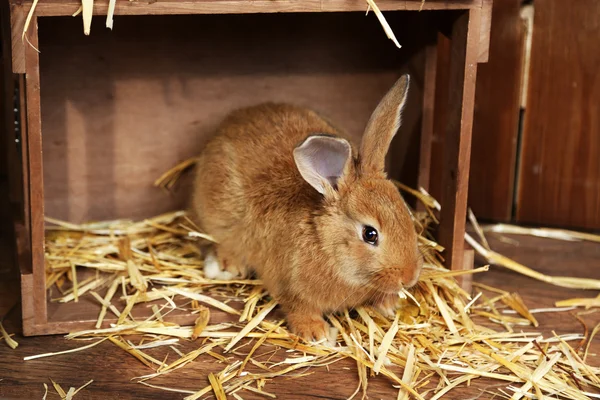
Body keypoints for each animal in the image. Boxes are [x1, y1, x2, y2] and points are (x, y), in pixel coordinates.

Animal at [191, 73, 422, 340]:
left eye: (407, 212)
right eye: (370, 234)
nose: (409, 277)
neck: (324, 243)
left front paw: (389, 303)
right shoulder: (288, 284)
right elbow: (298, 308)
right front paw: (316, 332)